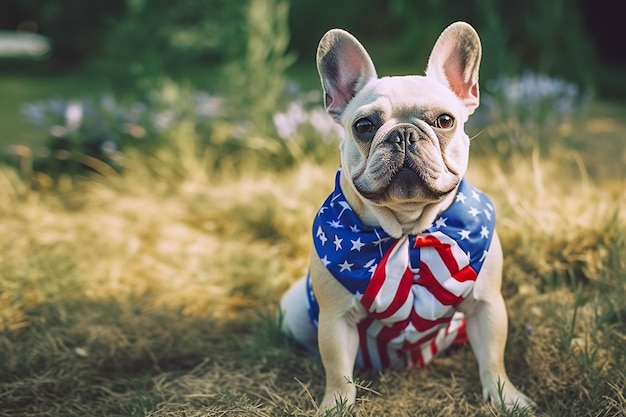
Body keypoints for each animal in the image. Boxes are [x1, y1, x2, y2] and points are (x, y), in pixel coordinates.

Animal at [280, 21, 532, 412]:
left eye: (445, 121)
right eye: (364, 126)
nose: (403, 133)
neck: (408, 232)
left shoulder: (487, 306)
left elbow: (493, 357)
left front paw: (507, 397)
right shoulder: (335, 320)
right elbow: (337, 369)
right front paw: (335, 405)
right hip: (294, 314)